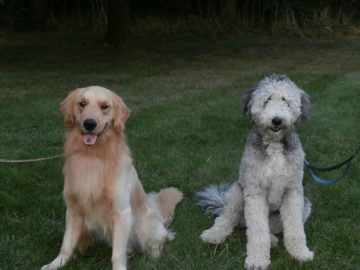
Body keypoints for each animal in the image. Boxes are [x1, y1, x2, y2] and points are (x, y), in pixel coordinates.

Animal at [198, 74, 314, 270]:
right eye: (267, 99)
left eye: (286, 100)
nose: (277, 120)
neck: (274, 144)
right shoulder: (255, 190)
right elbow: (257, 231)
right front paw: (257, 260)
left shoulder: (293, 191)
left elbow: (295, 228)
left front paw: (300, 253)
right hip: (237, 192)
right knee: (228, 220)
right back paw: (213, 235)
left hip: (304, 204)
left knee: (268, 228)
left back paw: (273, 240)